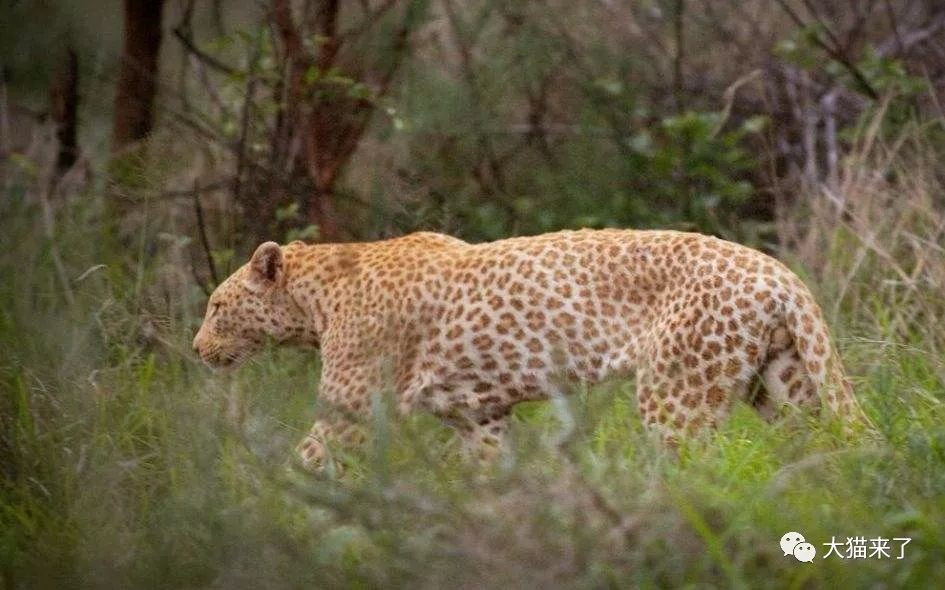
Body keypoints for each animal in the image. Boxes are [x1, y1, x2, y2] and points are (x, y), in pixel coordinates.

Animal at [194, 229, 872, 470]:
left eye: (217, 307)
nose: (198, 348)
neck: (316, 297)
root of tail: (779, 272)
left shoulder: (352, 410)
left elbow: (307, 460)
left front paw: (262, 507)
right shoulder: (479, 416)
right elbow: (487, 470)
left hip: (676, 393)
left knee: (691, 467)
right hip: (784, 383)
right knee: (824, 441)